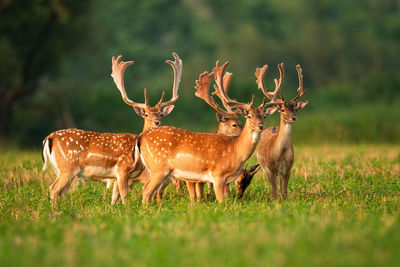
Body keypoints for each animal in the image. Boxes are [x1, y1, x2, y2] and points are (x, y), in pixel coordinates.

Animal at [41, 52, 182, 204]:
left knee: (61, 192)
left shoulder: (115, 176)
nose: (156, 122)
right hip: (67, 166)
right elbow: (125, 196)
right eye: (146, 114)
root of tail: (48, 138)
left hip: (64, 170)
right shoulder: (123, 169)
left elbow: (114, 198)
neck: (137, 154)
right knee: (53, 188)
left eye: (161, 114)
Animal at [138, 60, 282, 204]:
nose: (260, 126)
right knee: (146, 190)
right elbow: (221, 200)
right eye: (249, 116)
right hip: (158, 167)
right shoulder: (217, 175)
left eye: (264, 116)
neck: (235, 151)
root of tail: (141, 138)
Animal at [256, 63, 310, 200]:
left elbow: (284, 193)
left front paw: (283, 200)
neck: (280, 154)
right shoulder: (270, 169)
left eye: (295, 109)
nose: (293, 118)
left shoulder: (288, 169)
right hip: (264, 168)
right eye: (283, 109)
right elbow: (275, 193)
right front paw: (275, 201)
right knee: (271, 187)